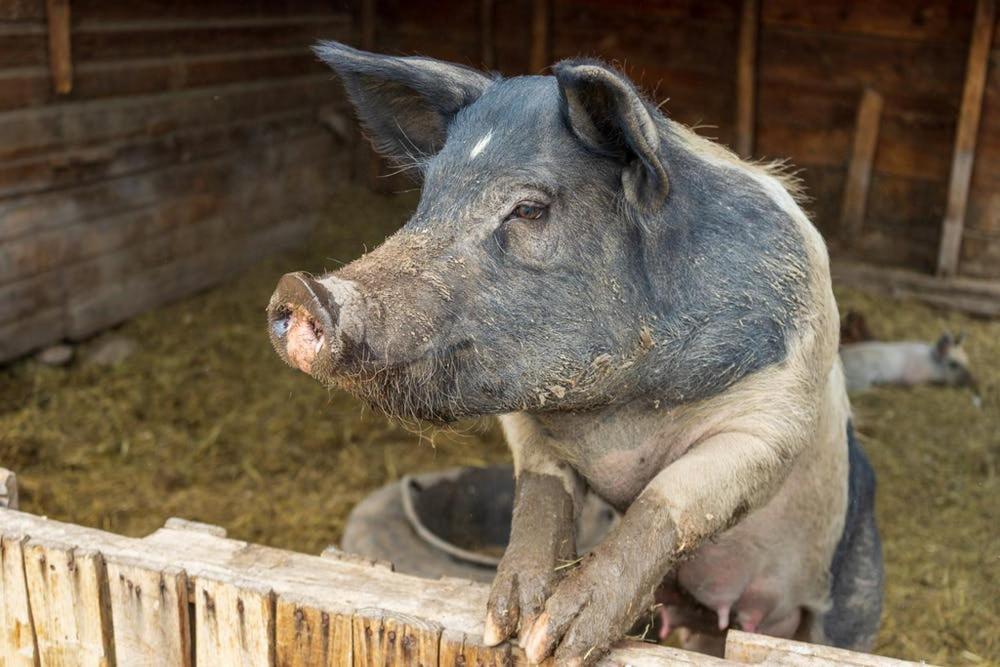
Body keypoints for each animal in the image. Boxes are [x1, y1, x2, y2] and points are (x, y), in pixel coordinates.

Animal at [266, 41, 884, 664]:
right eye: (429, 197)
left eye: (530, 209)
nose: (302, 290)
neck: (620, 418)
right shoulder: (524, 415)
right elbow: (542, 496)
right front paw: (505, 627)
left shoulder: (774, 417)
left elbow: (665, 501)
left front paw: (555, 642)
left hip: (854, 590)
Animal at [840, 332, 972, 394]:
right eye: (953, 364)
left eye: (967, 359)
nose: (970, 381)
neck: (931, 363)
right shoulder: (911, 379)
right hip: (862, 380)